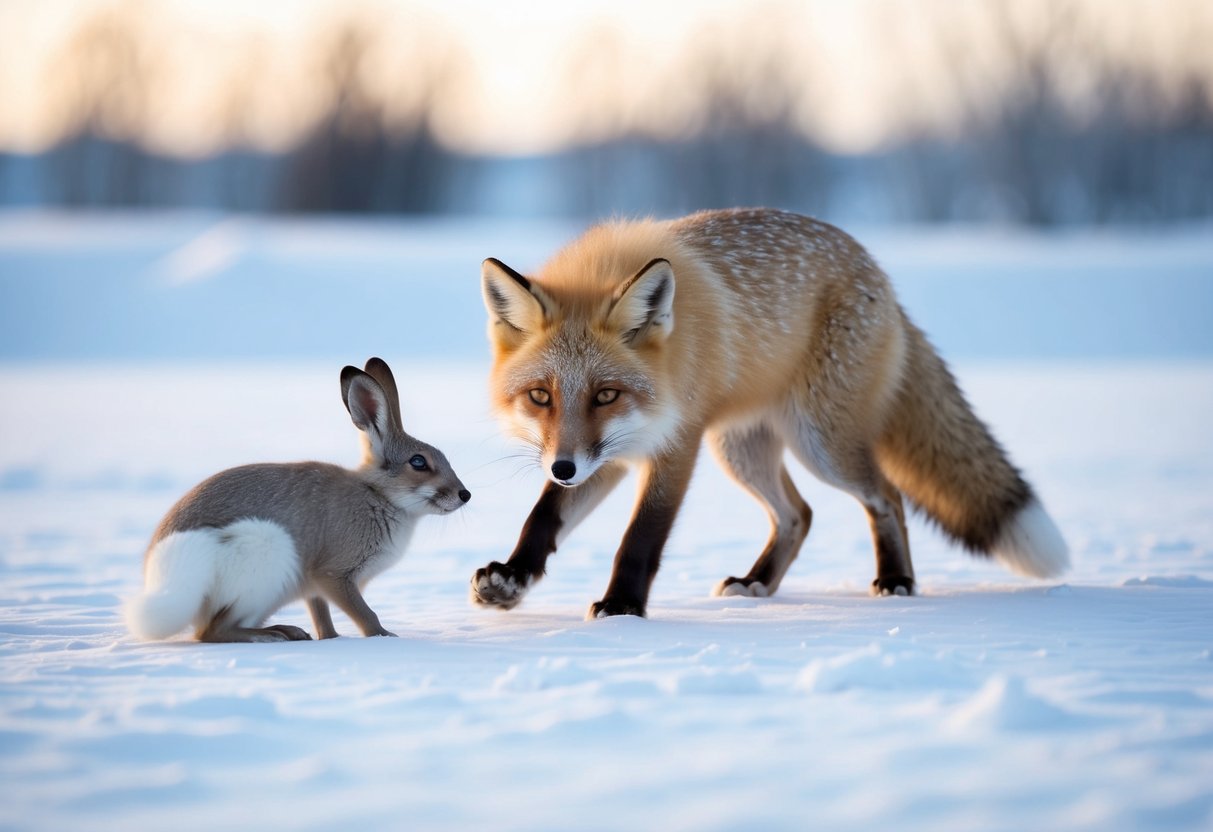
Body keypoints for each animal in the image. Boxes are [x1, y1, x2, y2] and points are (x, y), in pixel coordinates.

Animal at [125, 357, 470, 642]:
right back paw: (272, 635)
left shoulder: (315, 589)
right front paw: (385, 637)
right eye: (418, 462)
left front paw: (331, 639)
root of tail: (163, 576)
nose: (464, 495)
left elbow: (322, 616)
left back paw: (288, 632)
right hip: (263, 557)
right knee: (211, 632)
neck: (379, 495)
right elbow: (364, 613)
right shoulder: (333, 575)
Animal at [469, 208, 1068, 619]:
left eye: (605, 395)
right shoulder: (612, 452)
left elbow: (641, 537)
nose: (562, 468)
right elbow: (544, 517)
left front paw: (622, 608)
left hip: (820, 444)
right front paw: (511, 579)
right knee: (798, 514)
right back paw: (759, 583)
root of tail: (880, 274)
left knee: (886, 496)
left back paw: (897, 580)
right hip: (742, 450)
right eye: (541, 396)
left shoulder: (673, 442)